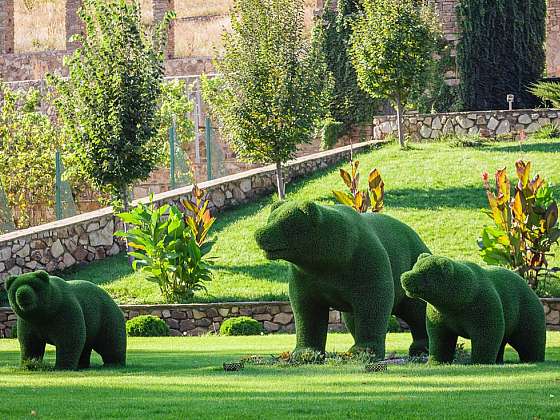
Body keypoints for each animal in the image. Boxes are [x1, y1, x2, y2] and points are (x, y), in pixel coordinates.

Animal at [256, 202, 430, 360]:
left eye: (286, 222)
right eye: (271, 219)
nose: (260, 234)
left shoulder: (364, 262)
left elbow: (372, 303)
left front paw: (364, 351)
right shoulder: (305, 276)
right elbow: (307, 310)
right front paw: (306, 353)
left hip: (412, 269)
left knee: (417, 311)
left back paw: (421, 348)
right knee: (352, 319)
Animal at [402, 253, 548, 364]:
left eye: (423, 271)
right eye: (415, 266)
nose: (405, 277)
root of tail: (529, 287)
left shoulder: (482, 305)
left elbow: (486, 333)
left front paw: (480, 361)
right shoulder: (440, 314)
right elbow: (439, 338)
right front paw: (436, 361)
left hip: (524, 311)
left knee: (529, 338)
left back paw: (532, 359)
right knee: (502, 340)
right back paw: (499, 360)